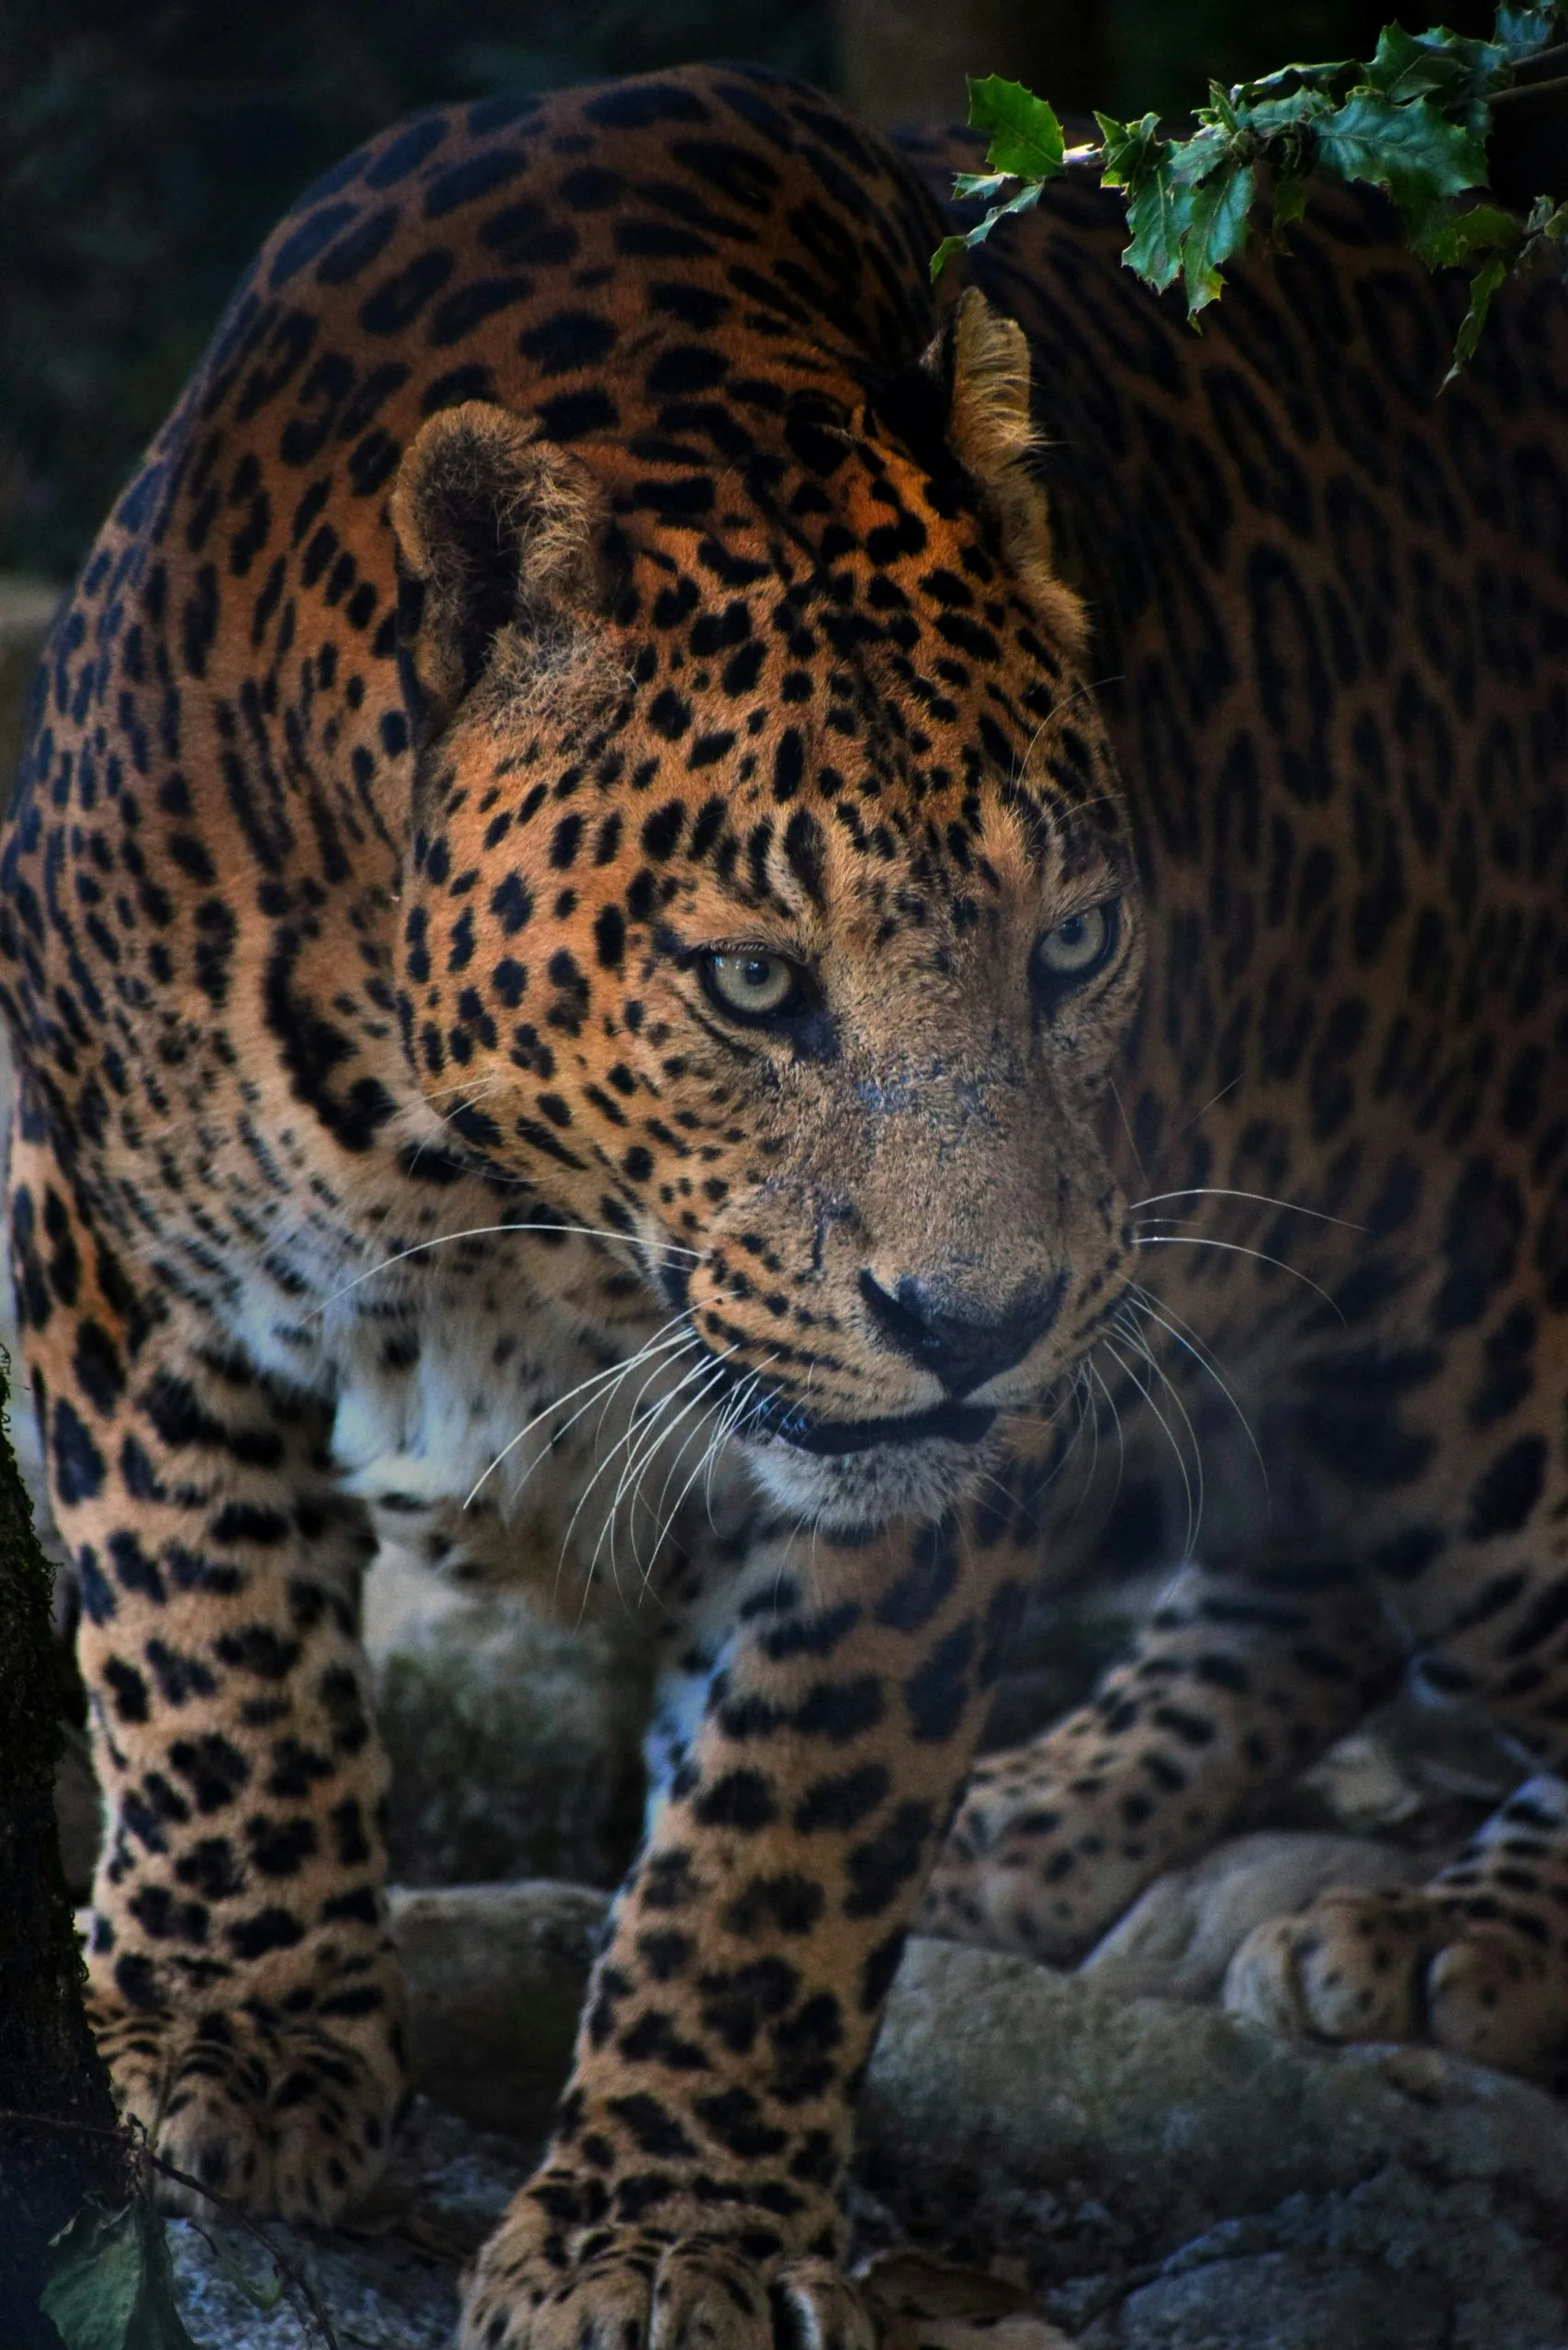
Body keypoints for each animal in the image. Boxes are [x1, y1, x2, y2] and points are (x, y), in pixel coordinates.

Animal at [1, 53, 1566, 2350]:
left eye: (1073, 949)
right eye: (751, 982)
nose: (984, 1325)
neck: (502, 1197)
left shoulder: (913, 1482)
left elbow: (774, 1834)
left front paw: (656, 2230)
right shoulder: (107, 1207)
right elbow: (196, 1634)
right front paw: (236, 2021)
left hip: (1466, 1348)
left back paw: (1459, 1926)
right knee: (1291, 1576)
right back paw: (1039, 1818)